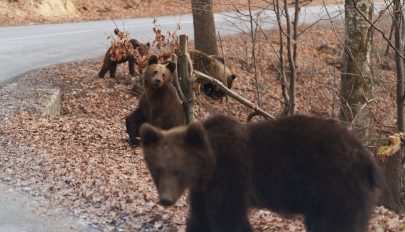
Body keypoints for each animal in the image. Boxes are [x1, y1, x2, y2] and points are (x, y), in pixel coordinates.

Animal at [140, 114, 384, 232]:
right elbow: (200, 219)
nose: (166, 200)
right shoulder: (203, 190)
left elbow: (228, 218)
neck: (208, 165)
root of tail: (366, 157)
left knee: (335, 224)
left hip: (333, 187)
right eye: (158, 170)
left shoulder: (230, 175)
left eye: (179, 171)